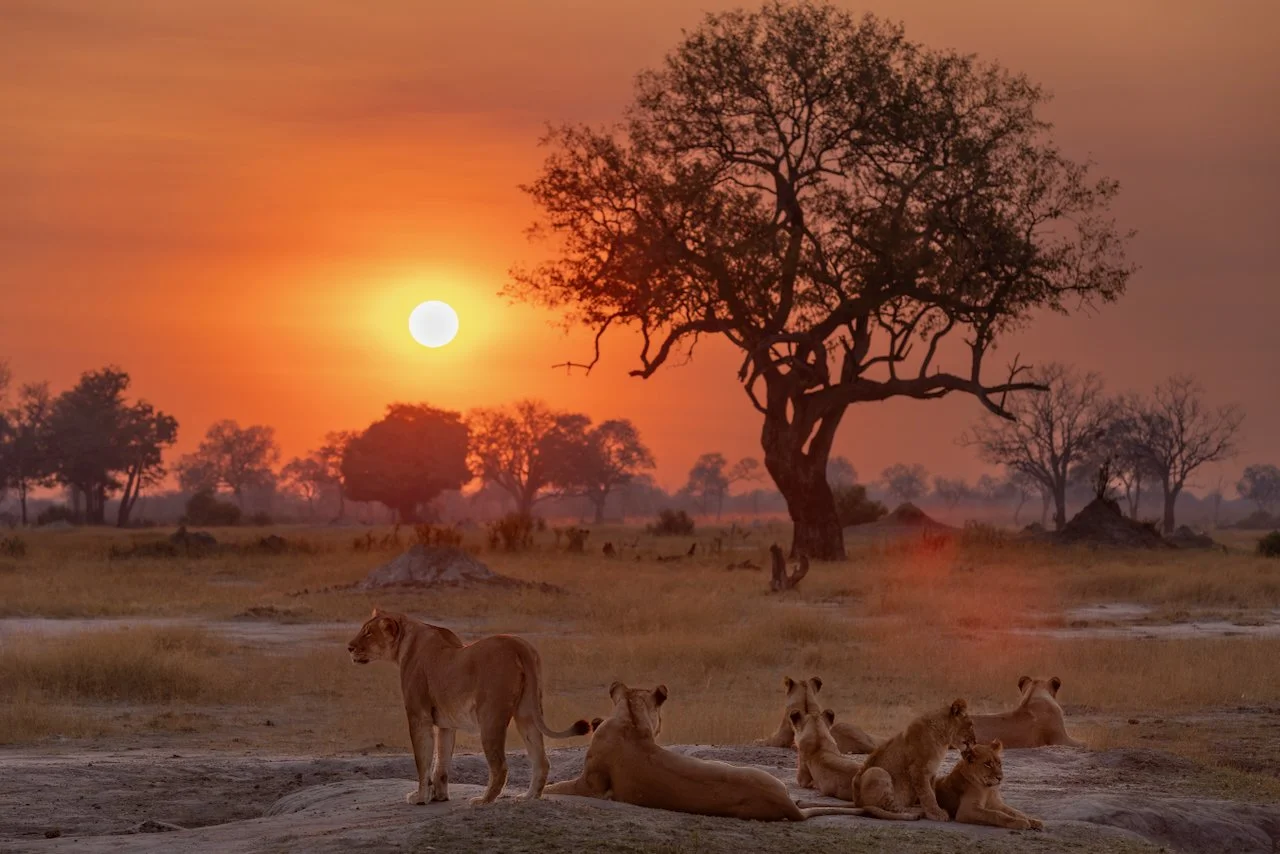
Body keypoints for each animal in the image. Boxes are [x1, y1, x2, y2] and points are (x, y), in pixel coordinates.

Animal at [347, 608, 589, 805]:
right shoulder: (446, 724)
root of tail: (518, 645)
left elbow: (423, 761)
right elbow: (441, 761)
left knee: (500, 766)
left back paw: (483, 801)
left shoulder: (419, 716)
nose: (349, 647)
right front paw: (440, 796)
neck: (407, 643)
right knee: (541, 760)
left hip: (490, 715)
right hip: (527, 713)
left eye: (368, 633)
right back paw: (528, 797)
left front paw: (420, 797)